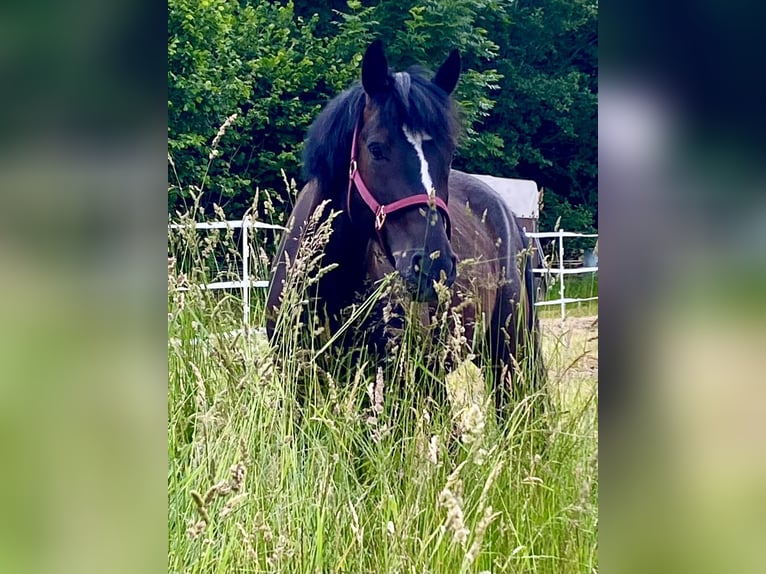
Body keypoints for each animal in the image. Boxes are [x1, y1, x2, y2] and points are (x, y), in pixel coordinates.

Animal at [268, 40, 548, 418]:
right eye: (376, 149)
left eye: (448, 153)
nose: (433, 265)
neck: (329, 282)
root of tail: (506, 212)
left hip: (507, 354)